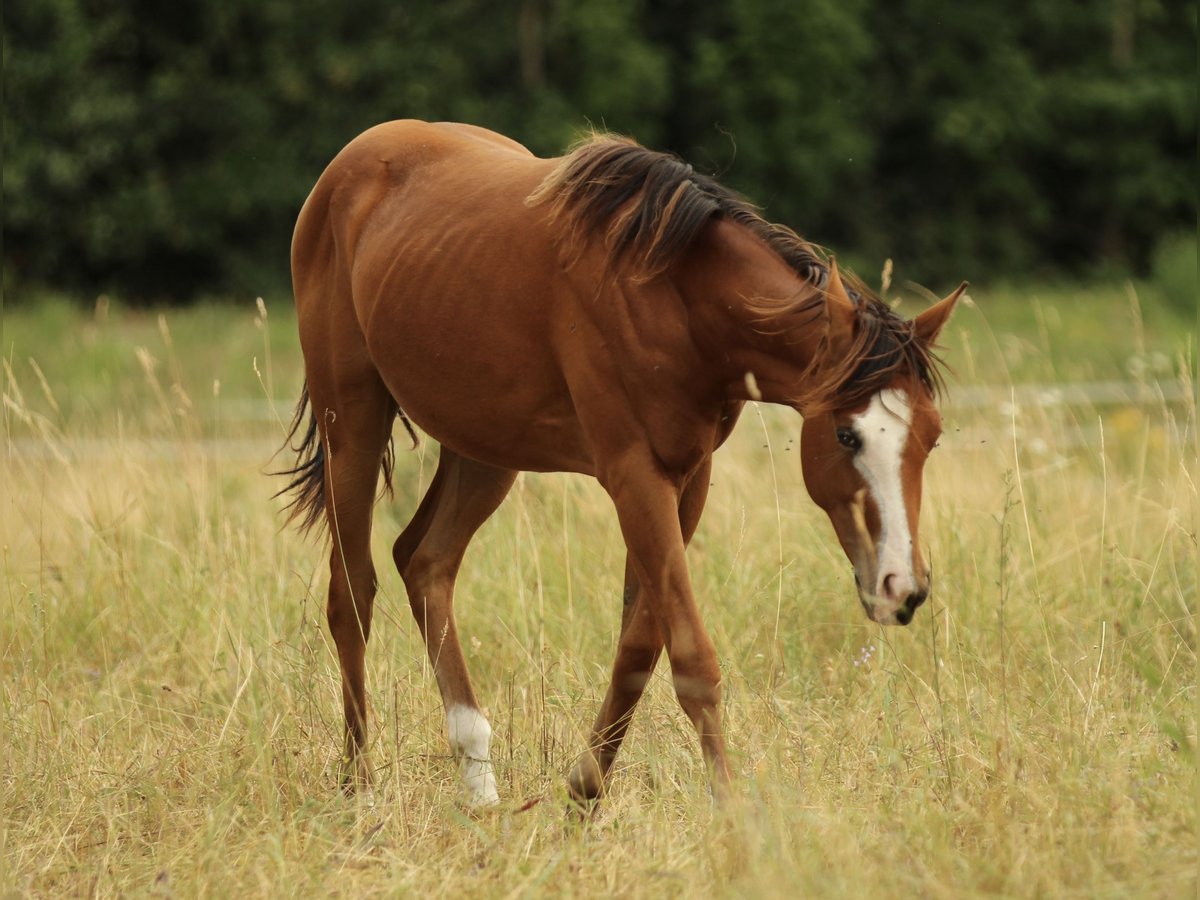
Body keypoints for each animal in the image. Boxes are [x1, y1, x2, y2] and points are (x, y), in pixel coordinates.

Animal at [276, 120, 964, 810]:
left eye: (931, 439)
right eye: (848, 436)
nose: (902, 588)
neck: (674, 298)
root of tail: (353, 162)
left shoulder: (687, 478)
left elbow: (640, 642)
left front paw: (583, 792)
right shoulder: (634, 475)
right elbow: (690, 656)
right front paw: (731, 811)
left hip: (483, 454)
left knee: (424, 563)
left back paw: (479, 780)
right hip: (354, 427)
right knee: (352, 594)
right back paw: (359, 786)